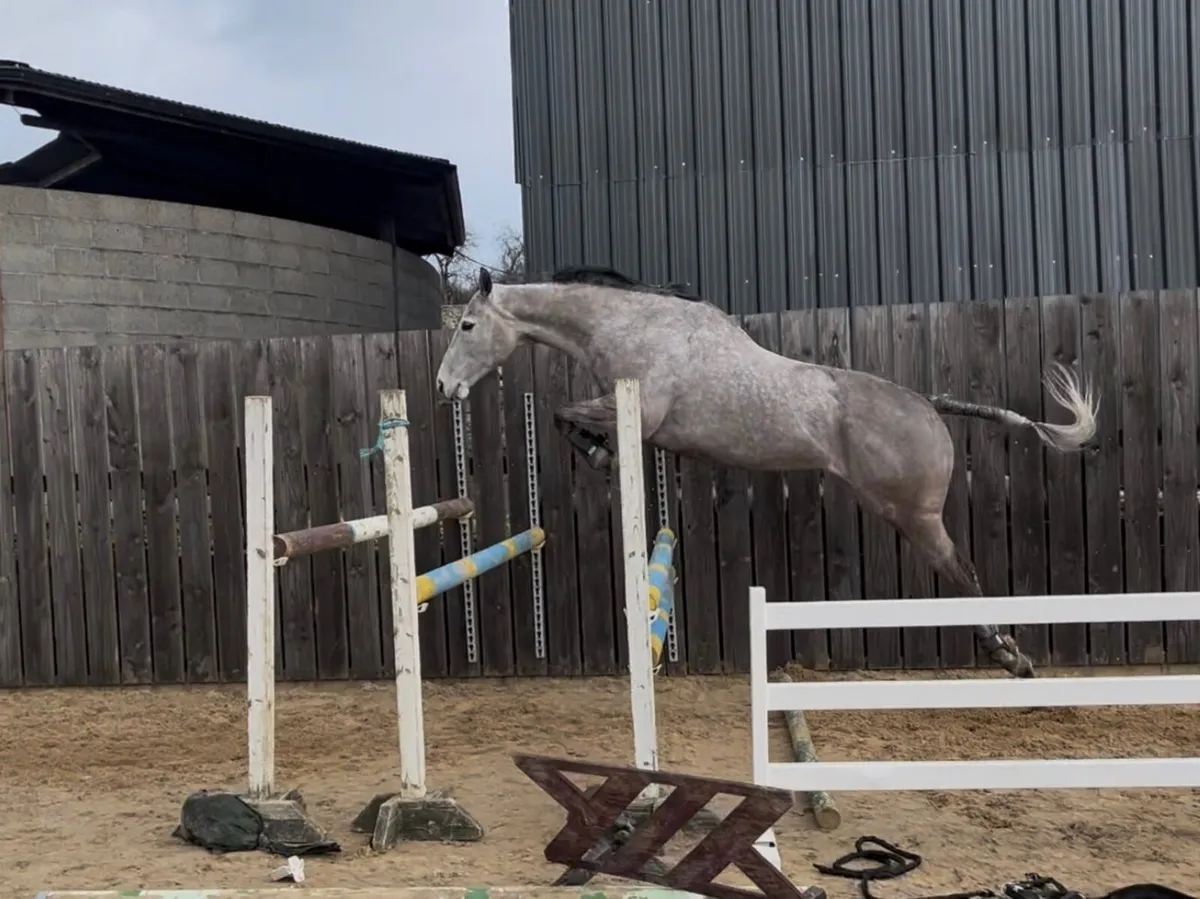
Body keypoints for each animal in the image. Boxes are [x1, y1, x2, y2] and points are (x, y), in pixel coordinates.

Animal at [435, 265, 1099, 679]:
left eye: (467, 326)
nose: (444, 388)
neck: (633, 325)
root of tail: (928, 405)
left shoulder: (639, 413)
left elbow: (563, 413)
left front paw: (599, 452)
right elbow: (563, 415)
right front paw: (598, 452)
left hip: (913, 515)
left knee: (964, 574)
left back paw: (1011, 656)